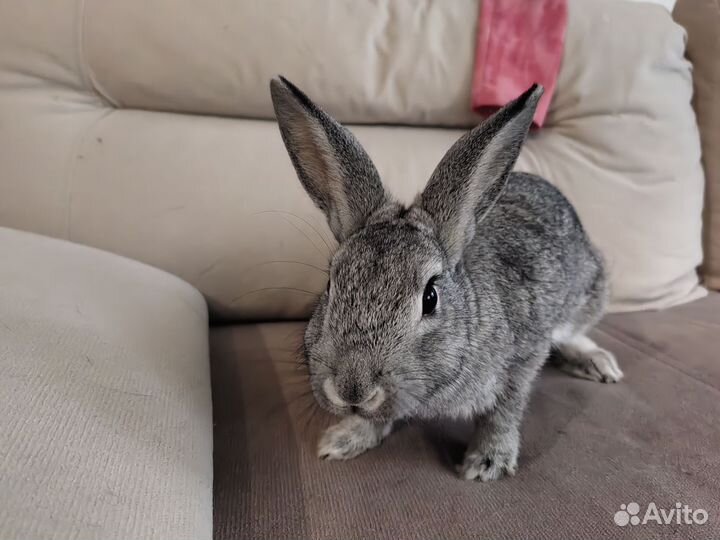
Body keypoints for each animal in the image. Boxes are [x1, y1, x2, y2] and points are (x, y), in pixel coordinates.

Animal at [269, 76, 623, 482]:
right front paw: (344, 439)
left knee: (575, 334)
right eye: (331, 284)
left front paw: (487, 462)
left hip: (589, 292)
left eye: (430, 298)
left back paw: (599, 364)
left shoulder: (525, 355)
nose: (352, 390)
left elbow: (504, 411)